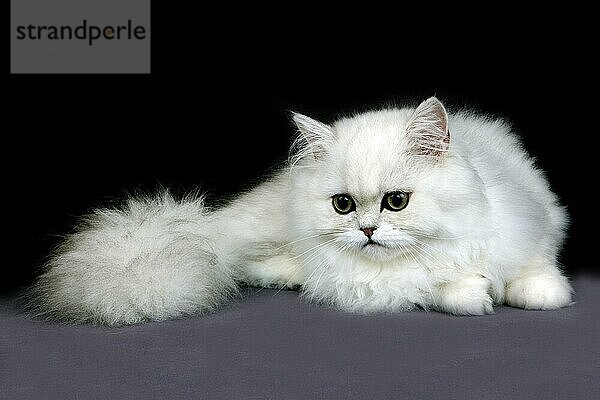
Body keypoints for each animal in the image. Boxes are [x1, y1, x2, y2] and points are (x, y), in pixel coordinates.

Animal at [30, 97, 576, 324]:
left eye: (397, 201)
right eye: (343, 205)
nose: (368, 230)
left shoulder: (532, 225)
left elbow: (534, 273)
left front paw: (542, 294)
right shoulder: (380, 286)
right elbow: (442, 290)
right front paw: (475, 293)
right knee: (248, 262)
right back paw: (291, 276)